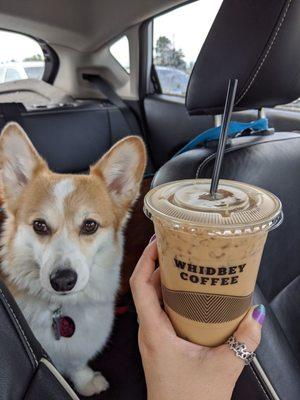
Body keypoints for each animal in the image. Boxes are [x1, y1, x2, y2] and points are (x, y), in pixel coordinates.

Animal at [0, 122, 146, 396]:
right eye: (39, 226)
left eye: (90, 225)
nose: (62, 281)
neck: (62, 307)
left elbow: (77, 363)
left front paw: (85, 380)